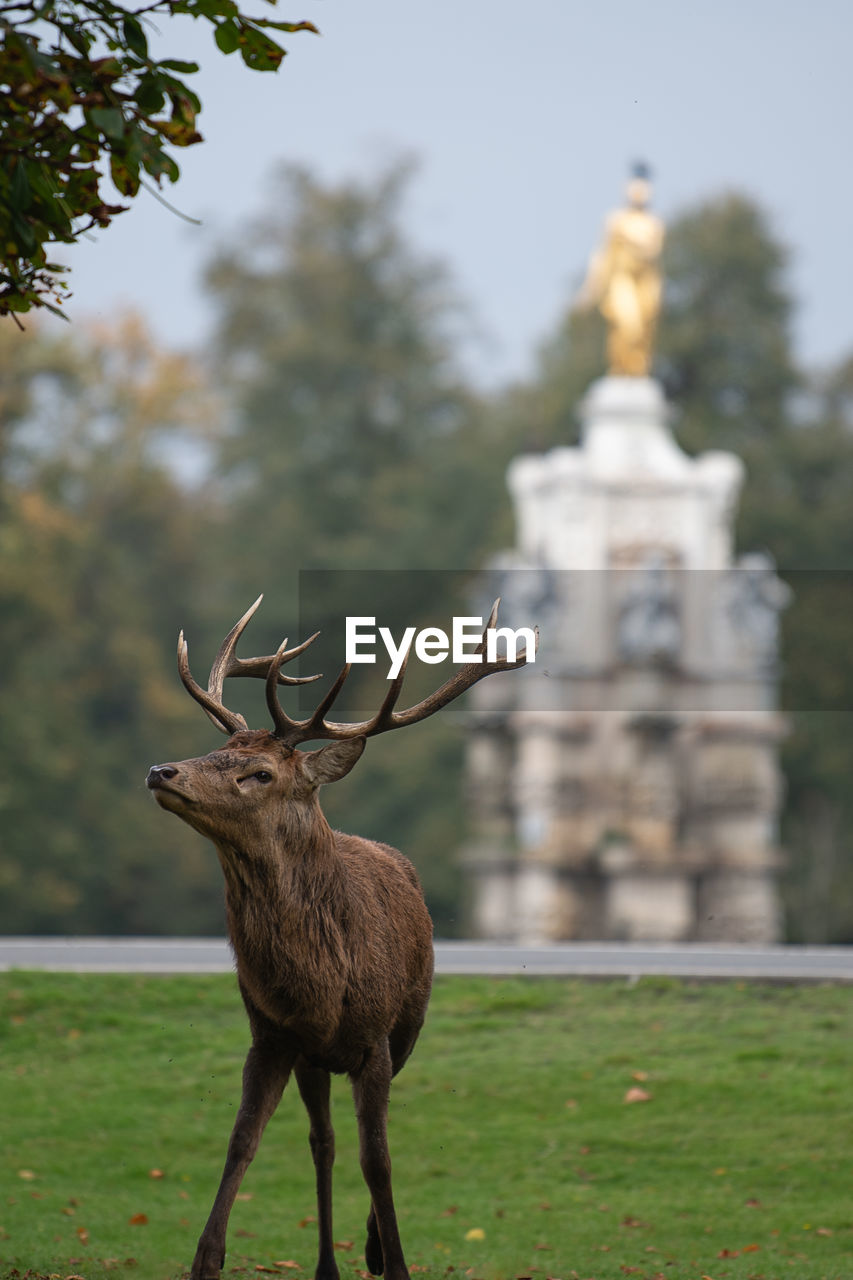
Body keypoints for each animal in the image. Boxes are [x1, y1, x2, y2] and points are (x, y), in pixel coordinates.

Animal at [145, 596, 532, 1280]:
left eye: (259, 772)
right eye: (216, 749)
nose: (161, 770)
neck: (322, 983)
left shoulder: (375, 1040)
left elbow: (377, 1159)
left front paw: (396, 1262)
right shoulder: (273, 1035)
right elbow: (242, 1140)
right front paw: (205, 1260)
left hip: (409, 1026)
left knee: (368, 1140)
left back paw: (373, 1247)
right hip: (315, 1060)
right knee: (322, 1142)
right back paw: (328, 1263)